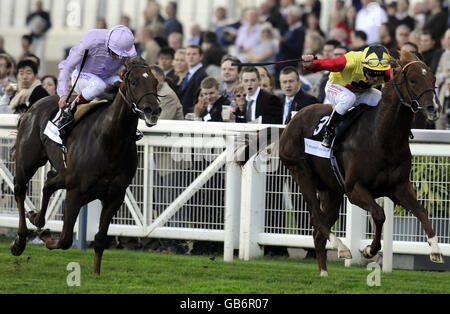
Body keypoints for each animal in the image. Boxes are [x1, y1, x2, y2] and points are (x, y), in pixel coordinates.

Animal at [10, 57, 162, 274]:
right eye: (134, 82)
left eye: (155, 82)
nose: (153, 110)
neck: (110, 140)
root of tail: (32, 107)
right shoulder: (75, 193)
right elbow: (65, 239)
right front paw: (46, 236)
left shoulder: (115, 196)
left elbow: (99, 239)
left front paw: (96, 273)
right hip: (28, 161)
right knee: (20, 190)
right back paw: (20, 241)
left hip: (64, 172)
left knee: (48, 182)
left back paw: (37, 218)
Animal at [280, 50, 444, 276]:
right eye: (413, 79)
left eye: (434, 79)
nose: (433, 108)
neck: (382, 137)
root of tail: (293, 120)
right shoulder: (354, 188)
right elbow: (379, 214)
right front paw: (369, 250)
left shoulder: (399, 187)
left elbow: (421, 211)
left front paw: (435, 249)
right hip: (300, 172)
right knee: (316, 215)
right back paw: (342, 248)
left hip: (332, 191)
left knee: (318, 230)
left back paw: (324, 272)